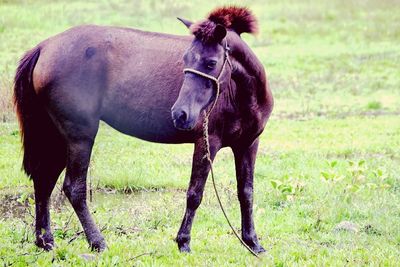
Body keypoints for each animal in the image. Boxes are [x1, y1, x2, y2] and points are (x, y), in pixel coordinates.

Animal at [14, 5, 274, 254]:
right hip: (79, 137)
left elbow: (246, 192)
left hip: (56, 137)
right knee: (73, 188)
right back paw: (97, 242)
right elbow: (195, 193)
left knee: (44, 180)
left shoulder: (248, 145)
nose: (180, 114)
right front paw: (183, 242)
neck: (240, 95)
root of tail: (44, 47)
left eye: (211, 63)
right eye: (185, 59)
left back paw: (45, 241)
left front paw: (252, 243)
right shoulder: (207, 142)